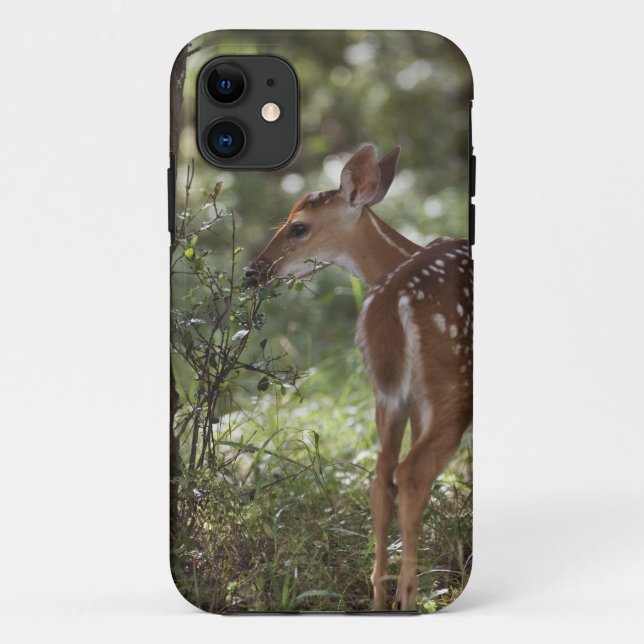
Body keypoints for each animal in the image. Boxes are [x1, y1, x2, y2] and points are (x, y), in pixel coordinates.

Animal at [247, 145, 473, 611]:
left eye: (298, 226)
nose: (252, 272)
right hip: (451, 386)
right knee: (410, 473)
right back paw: (408, 597)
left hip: (389, 391)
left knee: (382, 477)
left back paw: (382, 598)